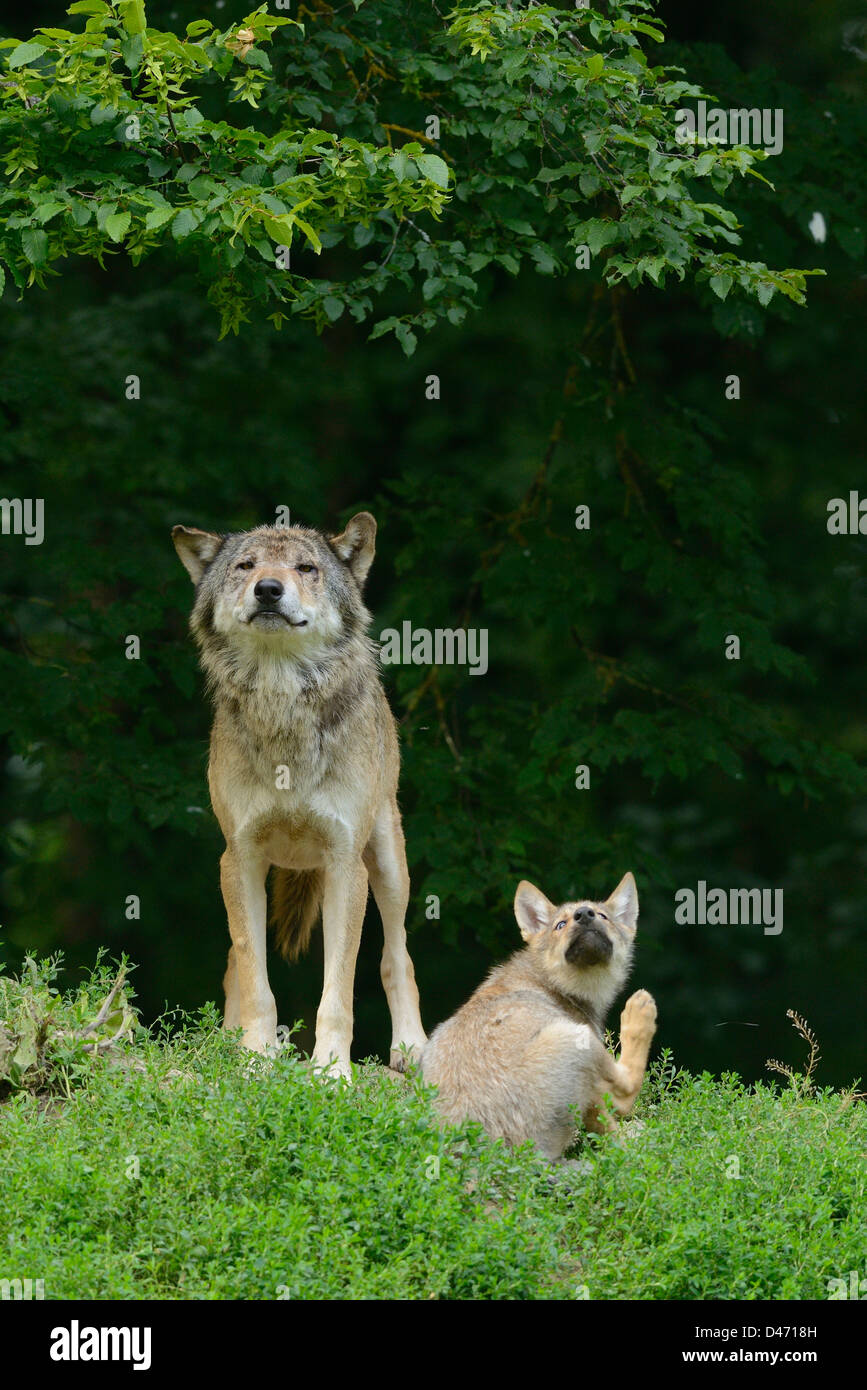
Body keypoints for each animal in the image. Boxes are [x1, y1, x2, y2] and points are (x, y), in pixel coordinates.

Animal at [171, 511, 427, 1073]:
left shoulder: (345, 864)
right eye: (246, 566)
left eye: (306, 568)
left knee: (397, 955)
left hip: (388, 866)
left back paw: (411, 1048)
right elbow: (255, 976)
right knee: (234, 960)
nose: (268, 589)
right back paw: (225, 1041)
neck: (282, 697)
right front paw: (254, 1057)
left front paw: (332, 1071)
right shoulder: (239, 858)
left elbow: (339, 991)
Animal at [422, 872, 655, 1156]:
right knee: (625, 1096)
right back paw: (639, 1010)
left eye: (602, 916)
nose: (584, 914)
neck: (556, 984)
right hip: (576, 1036)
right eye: (560, 924)